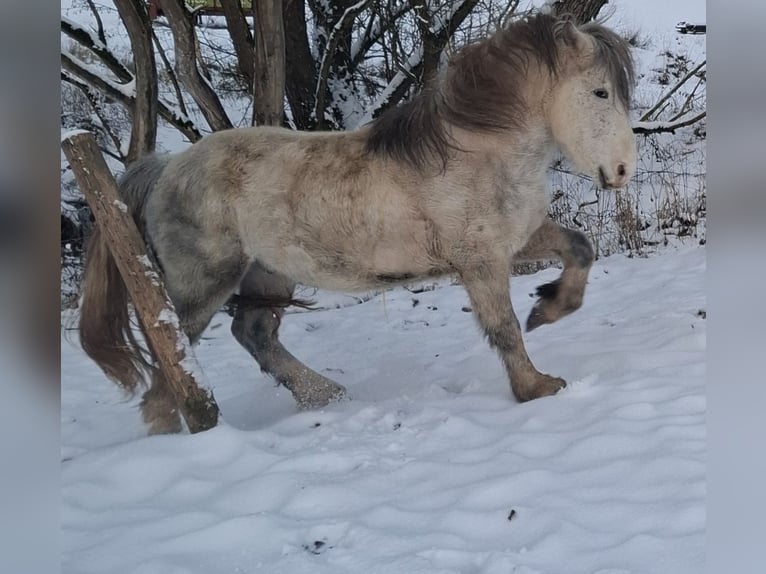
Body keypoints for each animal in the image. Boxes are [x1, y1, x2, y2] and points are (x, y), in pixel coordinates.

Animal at [78, 12, 636, 434]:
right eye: (600, 93)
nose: (622, 170)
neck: (476, 151)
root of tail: (167, 167)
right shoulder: (481, 262)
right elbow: (503, 330)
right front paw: (536, 388)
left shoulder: (517, 241)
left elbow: (580, 249)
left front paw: (548, 309)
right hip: (202, 286)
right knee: (170, 361)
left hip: (266, 274)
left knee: (253, 334)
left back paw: (325, 396)